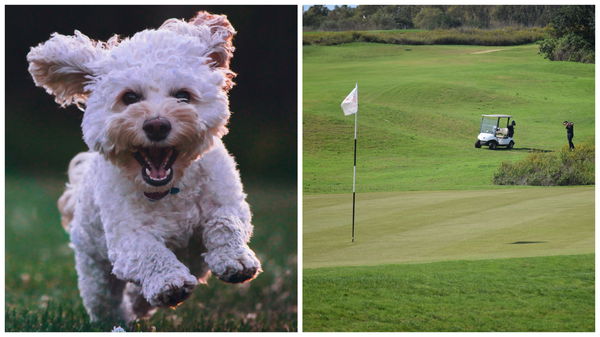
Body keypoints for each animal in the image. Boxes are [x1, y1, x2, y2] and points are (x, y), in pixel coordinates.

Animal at [26, 11, 260, 322]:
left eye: (183, 95)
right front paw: (169, 282)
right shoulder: (127, 238)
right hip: (94, 268)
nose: (157, 125)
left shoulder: (227, 201)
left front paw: (235, 260)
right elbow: (150, 252)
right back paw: (120, 317)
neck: (171, 189)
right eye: (129, 97)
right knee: (105, 299)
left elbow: (226, 222)